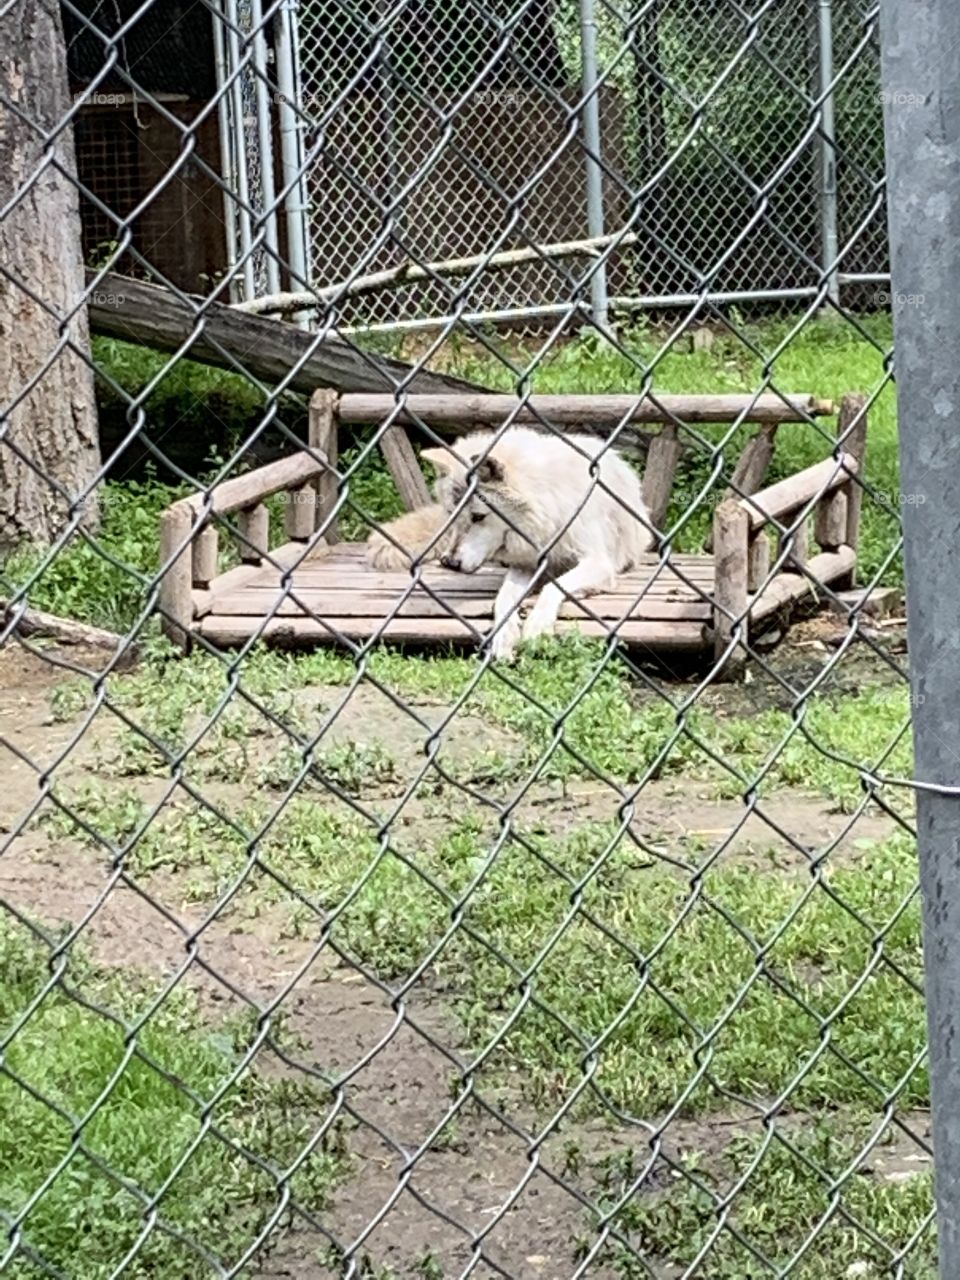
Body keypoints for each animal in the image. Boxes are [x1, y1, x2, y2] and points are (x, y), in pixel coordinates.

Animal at [366, 426, 654, 661]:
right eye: (451, 514)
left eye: (478, 517)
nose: (450, 562)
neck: (548, 511)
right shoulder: (528, 565)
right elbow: (503, 598)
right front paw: (504, 635)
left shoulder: (599, 563)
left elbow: (553, 586)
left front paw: (537, 627)